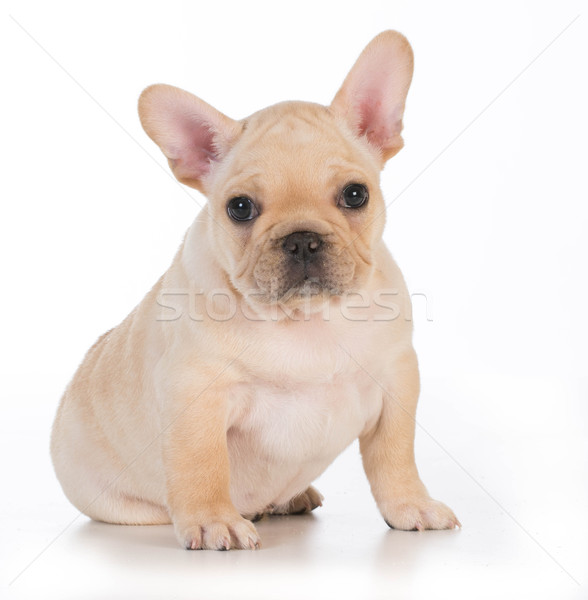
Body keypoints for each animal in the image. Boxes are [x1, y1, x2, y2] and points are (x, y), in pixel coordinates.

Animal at [51, 31, 460, 548]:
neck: (306, 319)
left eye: (355, 195)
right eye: (240, 208)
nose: (301, 238)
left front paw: (409, 505)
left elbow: (395, 456)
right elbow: (201, 464)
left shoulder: (396, 381)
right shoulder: (195, 395)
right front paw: (213, 520)